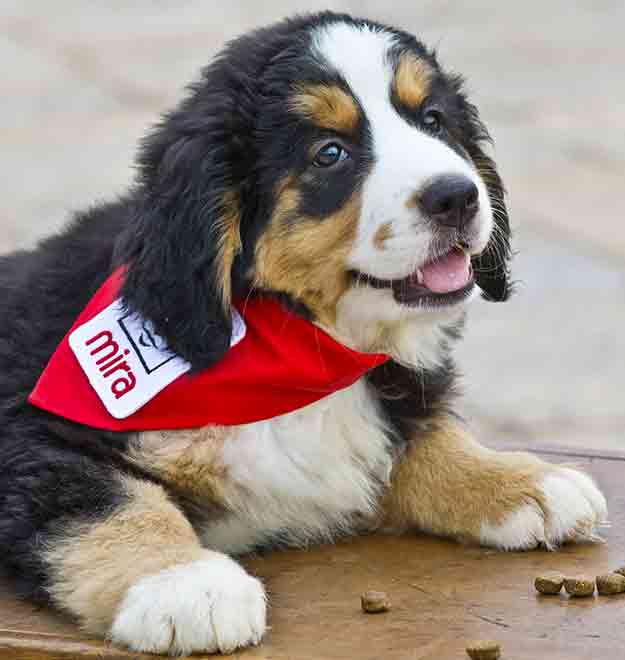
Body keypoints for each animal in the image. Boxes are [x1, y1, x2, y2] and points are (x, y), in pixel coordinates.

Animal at [0, 9, 604, 656]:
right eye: (329, 153)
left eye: (433, 121)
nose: (457, 195)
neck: (302, 340)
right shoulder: (30, 435)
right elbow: (109, 500)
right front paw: (186, 582)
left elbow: (422, 435)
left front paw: (521, 480)